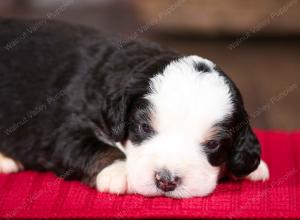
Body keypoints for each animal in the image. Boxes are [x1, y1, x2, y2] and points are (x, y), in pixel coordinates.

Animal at [0, 18, 270, 198]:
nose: (166, 181)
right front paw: (120, 172)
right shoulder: (64, 128)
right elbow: (89, 145)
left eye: (213, 144)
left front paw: (252, 168)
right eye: (144, 127)